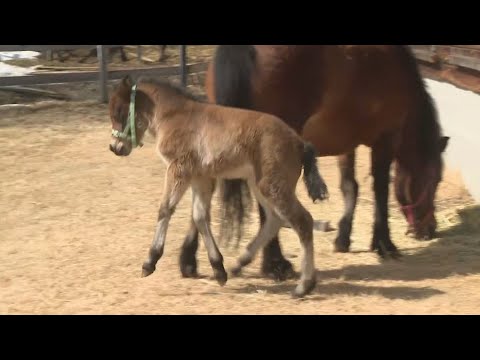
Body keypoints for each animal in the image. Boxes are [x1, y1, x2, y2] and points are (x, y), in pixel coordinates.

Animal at [177, 45, 450, 282]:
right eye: (434, 181)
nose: (429, 230)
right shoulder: (385, 139)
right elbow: (380, 190)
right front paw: (384, 244)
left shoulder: (346, 143)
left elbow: (350, 187)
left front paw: (343, 238)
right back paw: (275, 264)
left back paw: (190, 260)